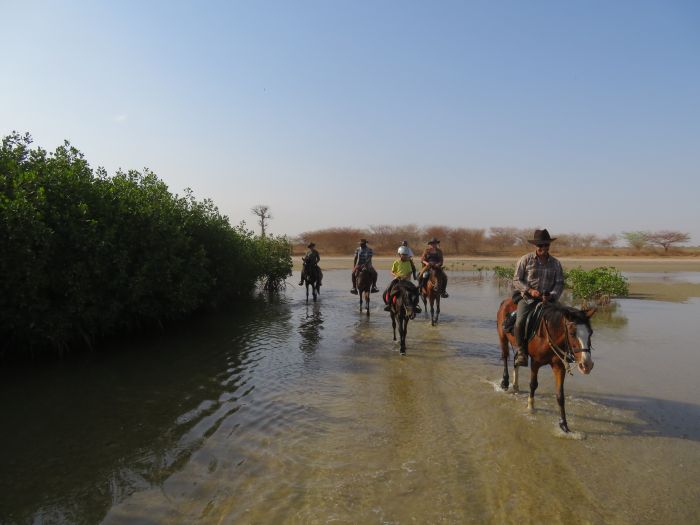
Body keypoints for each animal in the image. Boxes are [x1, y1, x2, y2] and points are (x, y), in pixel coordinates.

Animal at [494, 296, 592, 432]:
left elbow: (560, 395)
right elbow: (533, 385)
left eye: (591, 333)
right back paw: (505, 382)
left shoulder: (559, 366)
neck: (548, 335)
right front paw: (530, 407)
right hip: (502, 336)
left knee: (516, 360)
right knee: (504, 357)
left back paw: (516, 385)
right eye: (572, 333)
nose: (587, 365)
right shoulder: (536, 362)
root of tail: (506, 301)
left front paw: (564, 424)